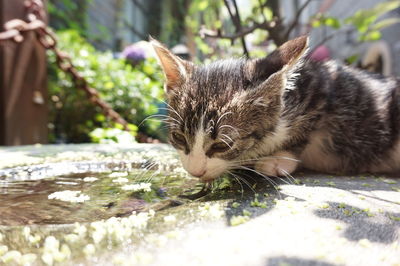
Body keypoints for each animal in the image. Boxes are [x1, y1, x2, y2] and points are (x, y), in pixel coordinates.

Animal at [150, 36, 400, 182]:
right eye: (178, 137)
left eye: (222, 145)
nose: (195, 171)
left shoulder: (323, 88)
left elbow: (305, 130)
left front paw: (280, 158)